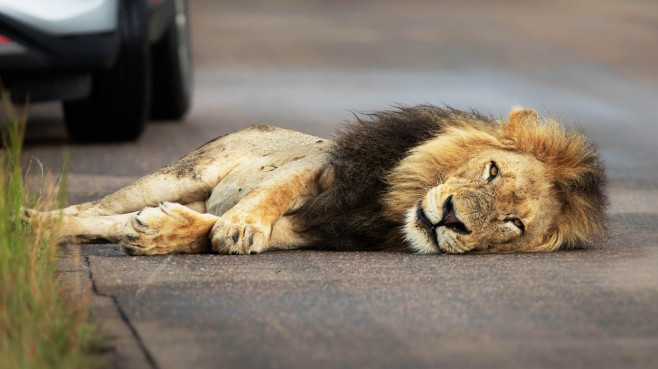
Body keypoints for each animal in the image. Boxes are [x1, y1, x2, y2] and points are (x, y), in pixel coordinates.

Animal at [36, 105, 608, 254]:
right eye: (492, 171)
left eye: (513, 224)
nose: (450, 219)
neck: (392, 204)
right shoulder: (327, 164)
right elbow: (273, 192)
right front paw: (239, 227)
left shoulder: (324, 230)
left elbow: (225, 230)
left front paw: (162, 233)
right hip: (180, 174)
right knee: (90, 210)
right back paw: (31, 223)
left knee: (107, 220)